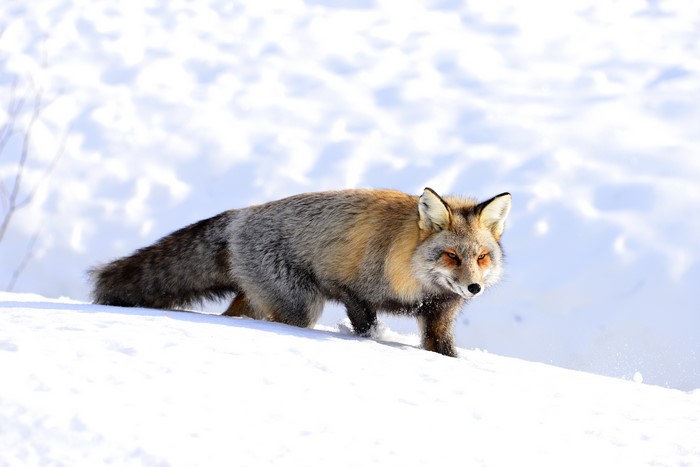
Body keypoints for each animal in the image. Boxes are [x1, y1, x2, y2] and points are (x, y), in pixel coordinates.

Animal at [90, 188, 511, 357]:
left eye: (482, 258)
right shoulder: (350, 289)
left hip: (260, 300)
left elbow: (443, 351)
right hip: (300, 306)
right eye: (452, 256)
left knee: (233, 314)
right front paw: (371, 342)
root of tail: (240, 215)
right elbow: (366, 328)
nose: (473, 288)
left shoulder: (439, 313)